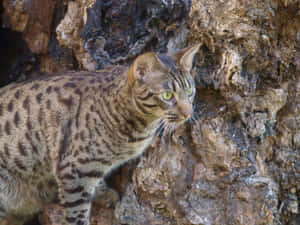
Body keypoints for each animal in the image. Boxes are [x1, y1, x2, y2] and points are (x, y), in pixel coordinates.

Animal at [0, 43, 200, 224]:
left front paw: (102, 193)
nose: (188, 112)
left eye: (190, 90)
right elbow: (77, 212)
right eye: (167, 95)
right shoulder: (72, 169)